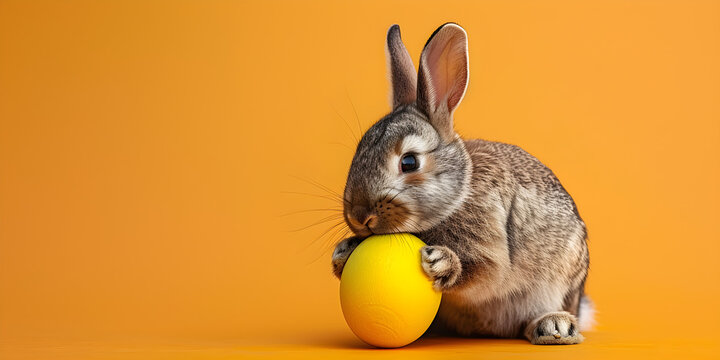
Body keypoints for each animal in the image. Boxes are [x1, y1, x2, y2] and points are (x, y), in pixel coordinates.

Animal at [332, 23, 592, 346]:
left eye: (409, 162)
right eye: (359, 151)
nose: (359, 216)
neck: (458, 195)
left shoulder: (491, 247)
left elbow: (484, 273)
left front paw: (442, 262)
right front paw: (343, 252)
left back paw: (555, 326)